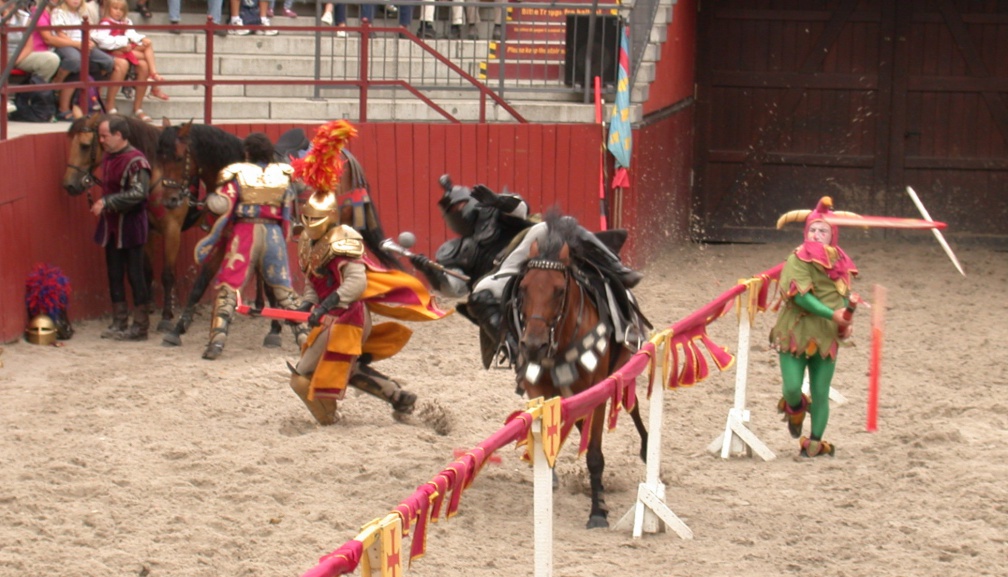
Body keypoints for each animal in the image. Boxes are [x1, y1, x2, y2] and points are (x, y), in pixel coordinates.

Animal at [63, 112, 200, 330]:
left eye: (84, 145)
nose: (69, 185)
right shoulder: (149, 231)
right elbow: (148, 271)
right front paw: (149, 306)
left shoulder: (172, 231)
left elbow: (167, 274)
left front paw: (166, 315)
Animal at [508, 213, 649, 528]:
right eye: (523, 288)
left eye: (559, 290)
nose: (533, 345)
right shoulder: (541, 392)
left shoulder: (598, 393)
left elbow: (595, 454)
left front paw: (598, 511)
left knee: (631, 405)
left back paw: (647, 447)